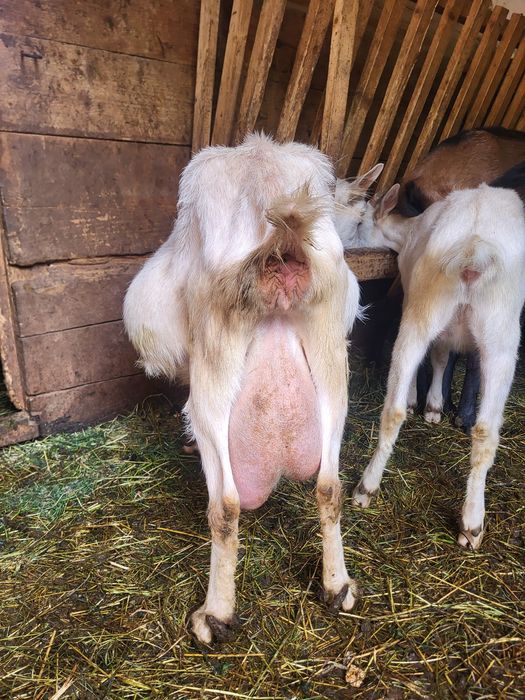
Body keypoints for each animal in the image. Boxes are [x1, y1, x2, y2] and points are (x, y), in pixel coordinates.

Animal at [124, 133, 360, 645]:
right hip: (332, 363)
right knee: (329, 486)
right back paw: (337, 587)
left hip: (213, 376)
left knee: (227, 506)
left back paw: (214, 614)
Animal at [352, 181, 525, 550]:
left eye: (360, 222)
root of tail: (473, 250)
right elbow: (442, 356)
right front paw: (432, 405)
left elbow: (440, 356)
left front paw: (429, 404)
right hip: (496, 332)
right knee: (484, 429)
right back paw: (471, 522)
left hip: (433, 311)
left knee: (399, 410)